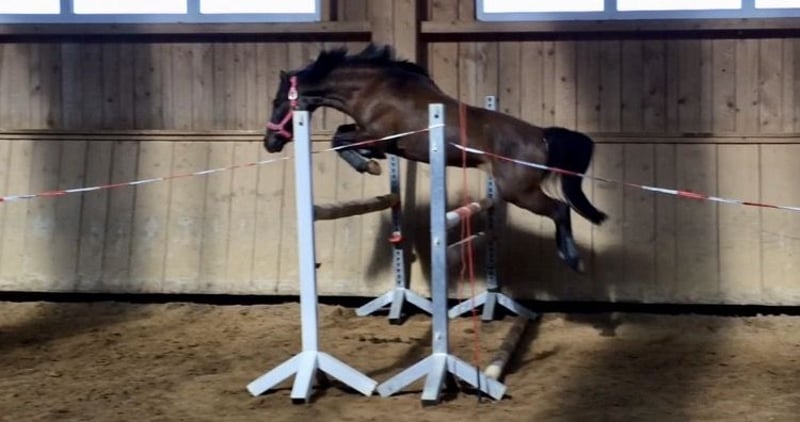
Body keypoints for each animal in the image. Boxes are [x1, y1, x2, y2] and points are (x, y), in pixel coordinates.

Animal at [264, 43, 607, 272]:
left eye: (278, 101)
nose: (270, 143)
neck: (374, 89)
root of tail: (541, 135)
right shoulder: (380, 142)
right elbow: (342, 136)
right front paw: (369, 162)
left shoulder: (376, 135)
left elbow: (339, 139)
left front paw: (368, 166)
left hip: (519, 191)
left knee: (560, 209)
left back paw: (573, 259)